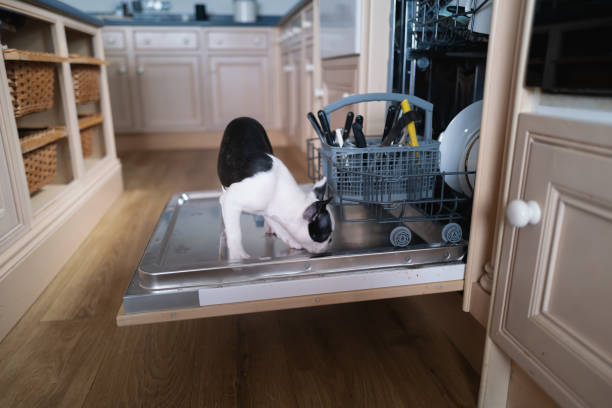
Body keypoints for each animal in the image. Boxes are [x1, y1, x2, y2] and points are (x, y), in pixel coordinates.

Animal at [218, 116, 334, 260]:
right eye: (326, 235)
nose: (330, 242)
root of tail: (243, 118)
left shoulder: (270, 210)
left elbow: (276, 223)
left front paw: (288, 238)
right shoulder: (230, 201)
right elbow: (235, 232)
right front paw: (237, 254)